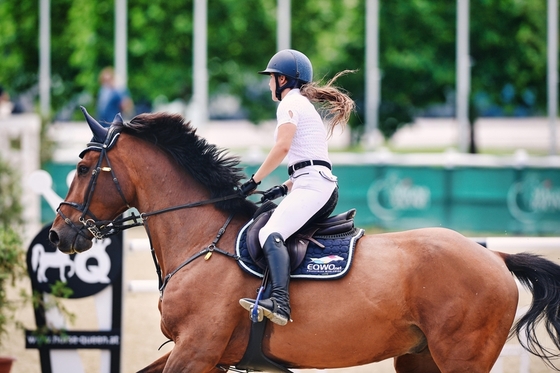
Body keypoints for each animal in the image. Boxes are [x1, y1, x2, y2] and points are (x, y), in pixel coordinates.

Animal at [49, 108, 560, 372]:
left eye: (82, 167)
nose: (58, 232)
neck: (201, 240)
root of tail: (494, 257)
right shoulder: (204, 356)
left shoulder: (196, 350)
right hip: (421, 360)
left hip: (460, 359)